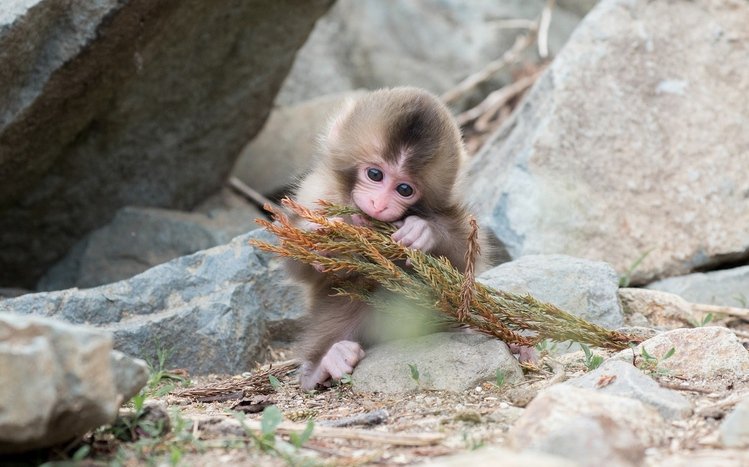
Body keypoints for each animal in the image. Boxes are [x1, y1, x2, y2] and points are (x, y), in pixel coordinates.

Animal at [289, 87, 490, 390]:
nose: (380, 204)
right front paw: (323, 242)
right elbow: (298, 266)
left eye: (404, 189)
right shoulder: (315, 194)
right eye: (375, 174)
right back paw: (325, 362)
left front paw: (422, 230)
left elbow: (465, 258)